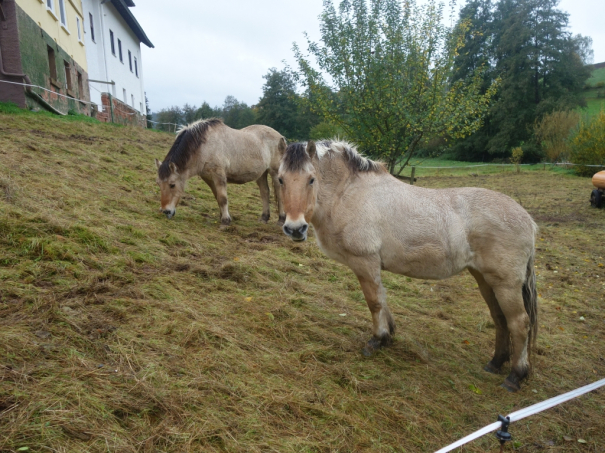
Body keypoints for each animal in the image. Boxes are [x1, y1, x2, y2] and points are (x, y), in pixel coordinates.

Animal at [156, 118, 288, 224]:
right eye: (159, 184)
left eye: (172, 185)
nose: (166, 211)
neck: (204, 147)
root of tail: (281, 137)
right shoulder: (208, 178)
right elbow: (218, 197)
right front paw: (222, 216)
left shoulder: (219, 175)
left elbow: (223, 198)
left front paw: (225, 221)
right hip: (261, 173)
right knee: (265, 192)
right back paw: (264, 218)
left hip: (275, 172)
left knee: (280, 193)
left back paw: (281, 219)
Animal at [278, 141, 536, 392]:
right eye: (280, 179)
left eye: (311, 179)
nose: (295, 229)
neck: (348, 193)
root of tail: (529, 221)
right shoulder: (373, 266)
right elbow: (382, 299)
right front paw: (388, 336)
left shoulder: (365, 262)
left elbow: (374, 302)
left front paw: (377, 340)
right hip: (484, 279)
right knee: (500, 318)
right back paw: (495, 363)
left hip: (505, 284)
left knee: (519, 323)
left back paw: (515, 376)